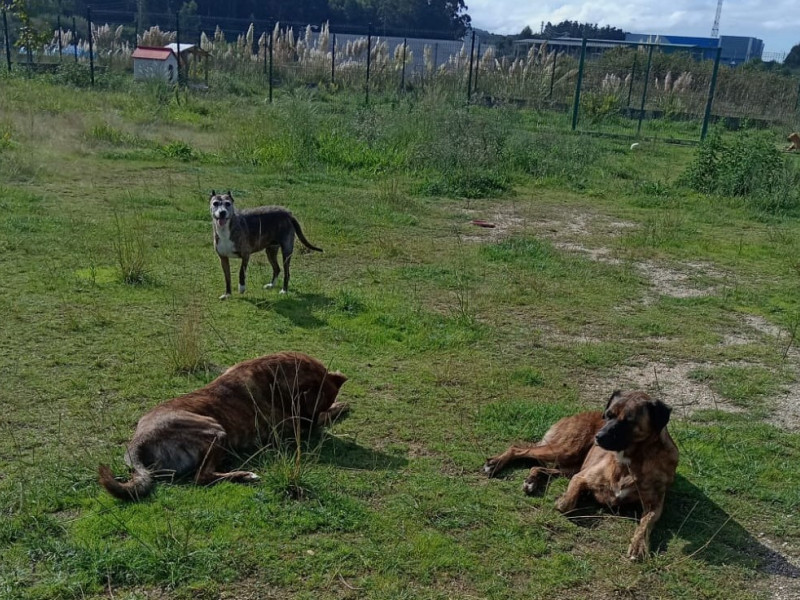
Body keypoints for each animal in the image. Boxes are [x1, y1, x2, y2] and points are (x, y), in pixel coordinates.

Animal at [98, 352, 348, 502]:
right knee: (201, 477)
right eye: (317, 406)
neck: (276, 375)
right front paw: (338, 411)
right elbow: (324, 419)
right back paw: (244, 474)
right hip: (215, 431)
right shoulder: (291, 428)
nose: (311, 425)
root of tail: (138, 441)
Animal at [484, 392, 680, 560]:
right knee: (518, 447)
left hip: (569, 465)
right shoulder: (581, 477)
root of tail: (575, 415)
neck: (630, 462)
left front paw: (639, 545)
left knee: (537, 465)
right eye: (608, 415)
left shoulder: (654, 506)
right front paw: (567, 499)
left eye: (628, 421)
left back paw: (532, 480)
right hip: (565, 450)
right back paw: (494, 463)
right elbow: (566, 504)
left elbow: (645, 524)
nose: (598, 437)